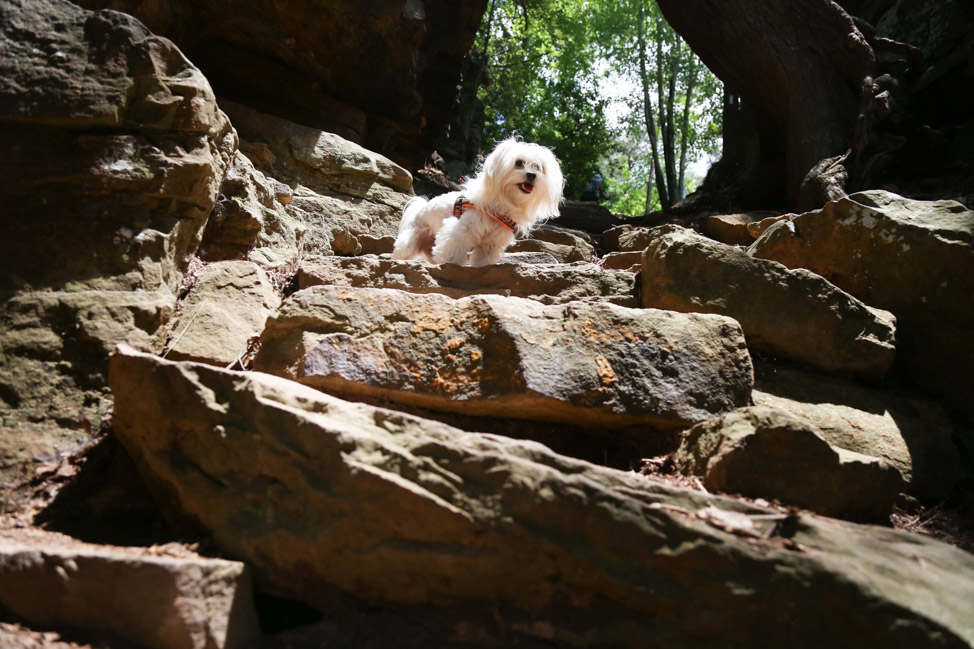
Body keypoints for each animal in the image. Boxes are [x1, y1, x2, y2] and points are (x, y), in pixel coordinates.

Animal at [392, 138, 568, 268]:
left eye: (539, 167)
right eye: (518, 163)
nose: (532, 175)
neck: (504, 201)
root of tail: (420, 208)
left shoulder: (492, 242)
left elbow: (484, 257)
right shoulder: (462, 228)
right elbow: (453, 246)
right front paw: (452, 262)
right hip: (411, 238)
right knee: (403, 250)